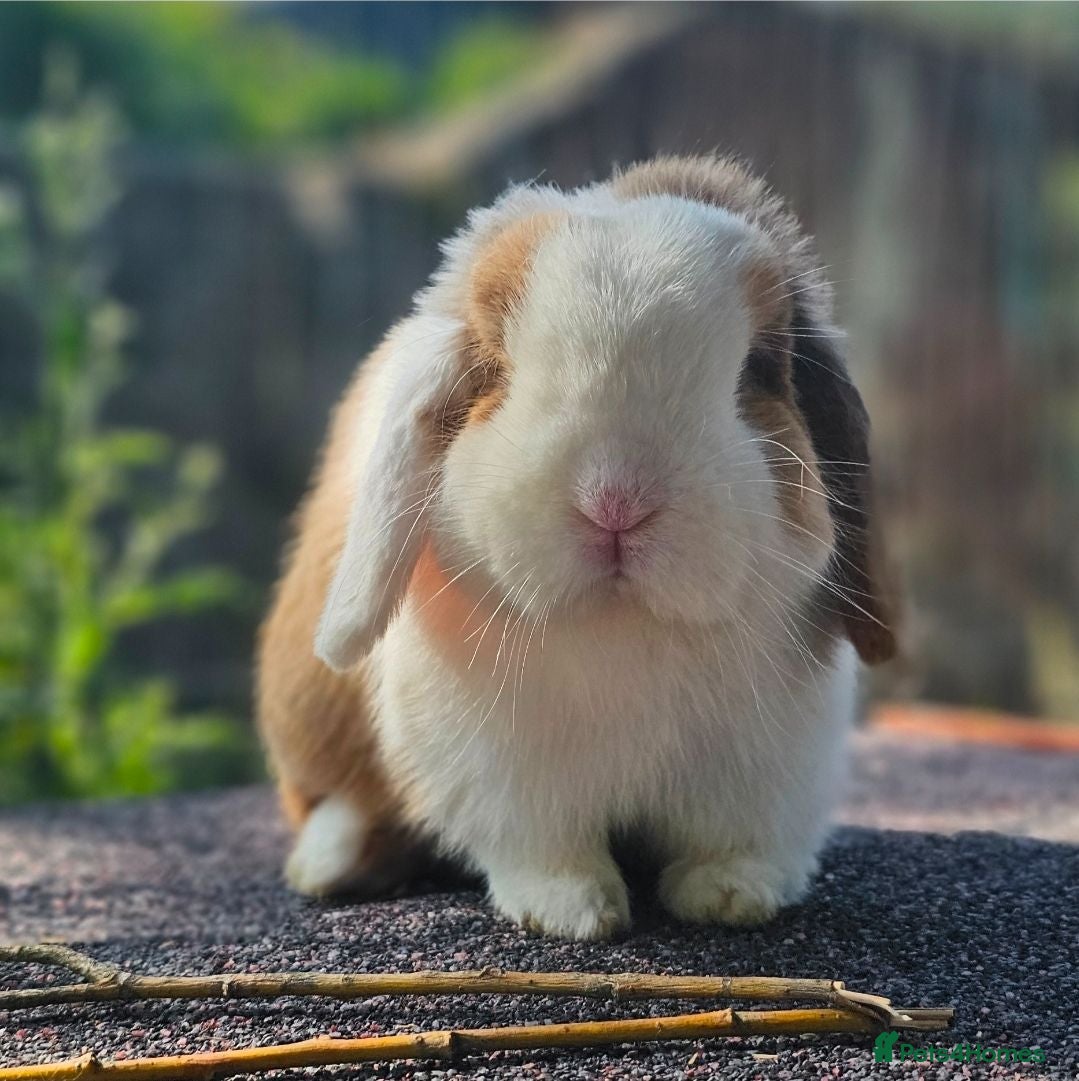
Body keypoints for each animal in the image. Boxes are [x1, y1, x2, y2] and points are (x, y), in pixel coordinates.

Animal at [256, 155, 896, 940]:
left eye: (758, 368)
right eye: (496, 368)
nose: (615, 501)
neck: (623, 627)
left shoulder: (766, 763)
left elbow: (734, 837)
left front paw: (730, 896)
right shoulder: (505, 776)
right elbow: (544, 847)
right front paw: (573, 914)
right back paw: (328, 863)